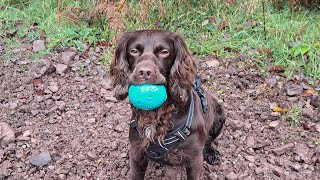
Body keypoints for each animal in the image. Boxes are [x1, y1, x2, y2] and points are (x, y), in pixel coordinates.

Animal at [110, 29, 225, 180]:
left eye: (164, 52)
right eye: (133, 51)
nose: (144, 72)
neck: (157, 114)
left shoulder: (194, 158)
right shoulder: (136, 153)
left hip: (220, 115)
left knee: (210, 139)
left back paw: (212, 153)